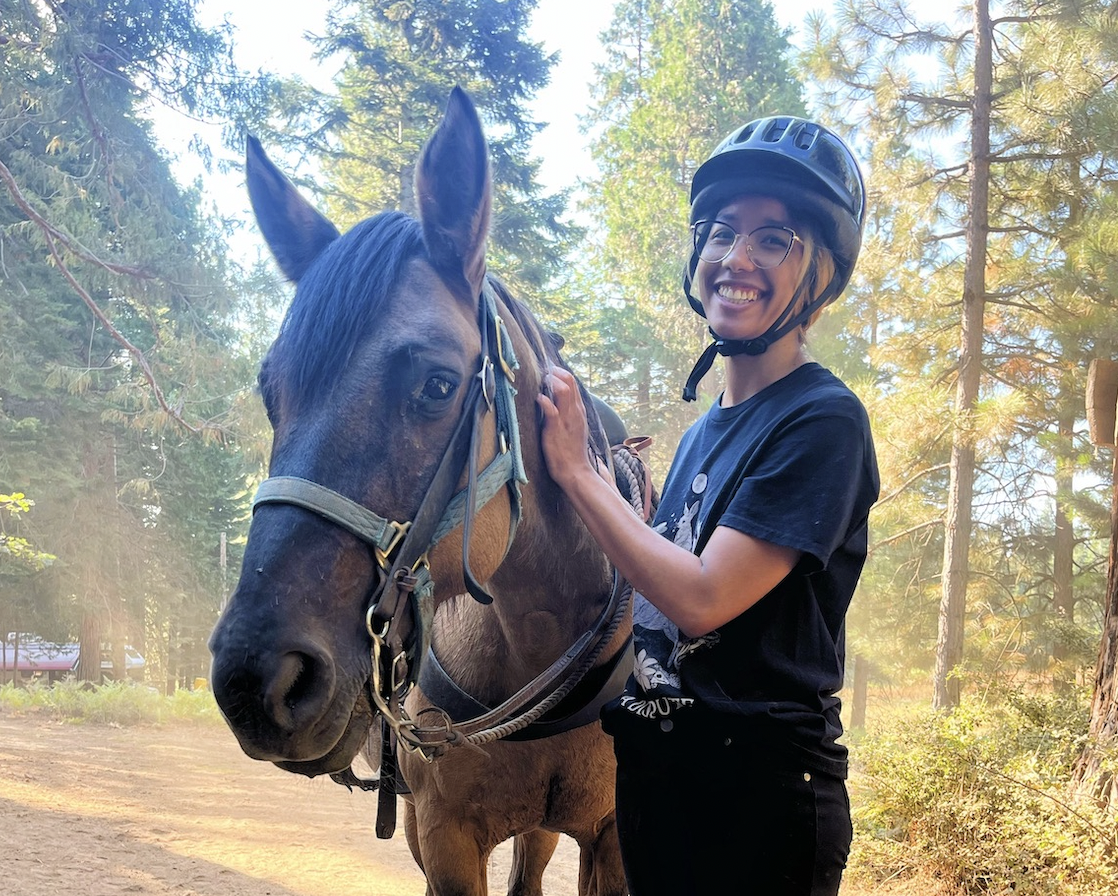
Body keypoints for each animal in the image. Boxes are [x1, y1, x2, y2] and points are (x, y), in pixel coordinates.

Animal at [207, 85, 639, 894]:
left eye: (438, 384)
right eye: (270, 394)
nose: (258, 678)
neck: (538, 637)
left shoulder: (615, 842)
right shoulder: (441, 839)